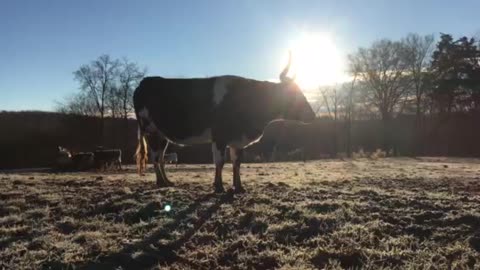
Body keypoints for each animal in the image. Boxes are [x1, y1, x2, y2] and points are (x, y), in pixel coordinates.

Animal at [134, 52, 316, 192]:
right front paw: (219, 186)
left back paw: (167, 181)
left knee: (160, 157)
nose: (312, 115)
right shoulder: (219, 137)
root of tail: (145, 82)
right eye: (293, 95)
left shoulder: (237, 140)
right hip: (149, 129)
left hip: (161, 135)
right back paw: (160, 182)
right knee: (155, 157)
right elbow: (220, 162)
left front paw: (238, 187)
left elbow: (237, 163)